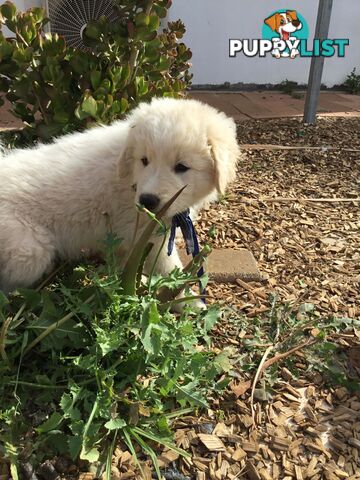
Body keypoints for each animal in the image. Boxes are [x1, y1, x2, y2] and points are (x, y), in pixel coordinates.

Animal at [0, 97, 242, 292]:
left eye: (182, 167)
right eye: (144, 160)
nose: (147, 201)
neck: (131, 179)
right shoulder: (148, 236)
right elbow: (168, 270)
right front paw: (189, 302)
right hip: (28, 251)